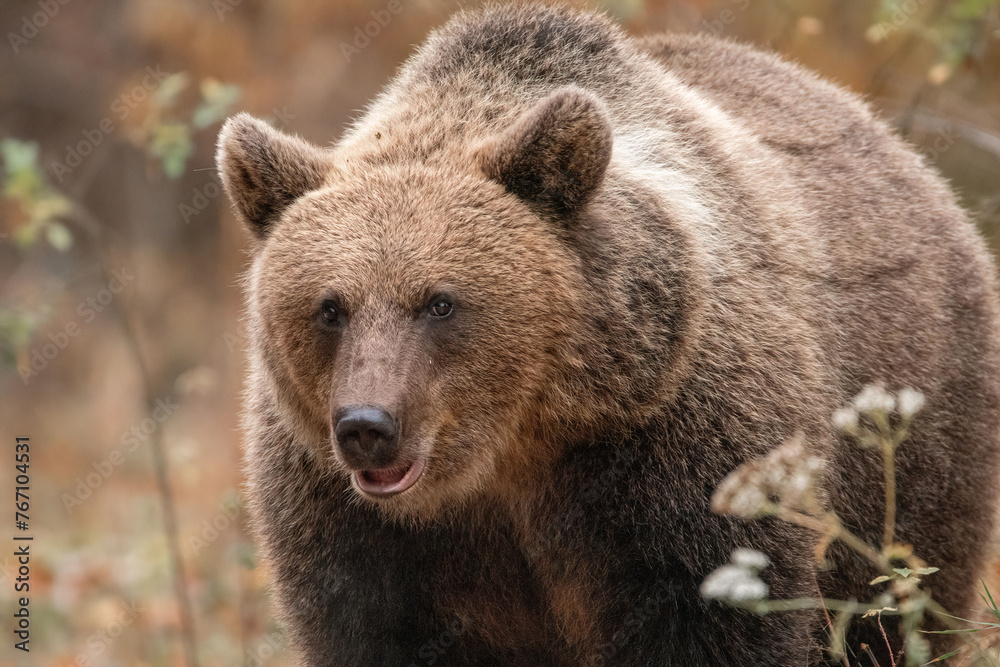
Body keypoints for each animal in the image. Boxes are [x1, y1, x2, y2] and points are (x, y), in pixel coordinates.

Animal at [217, 6, 1000, 667]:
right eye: (329, 307)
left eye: (440, 302)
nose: (368, 426)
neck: (512, 453)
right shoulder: (355, 526)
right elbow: (375, 625)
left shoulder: (676, 452)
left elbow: (716, 619)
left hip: (915, 436)